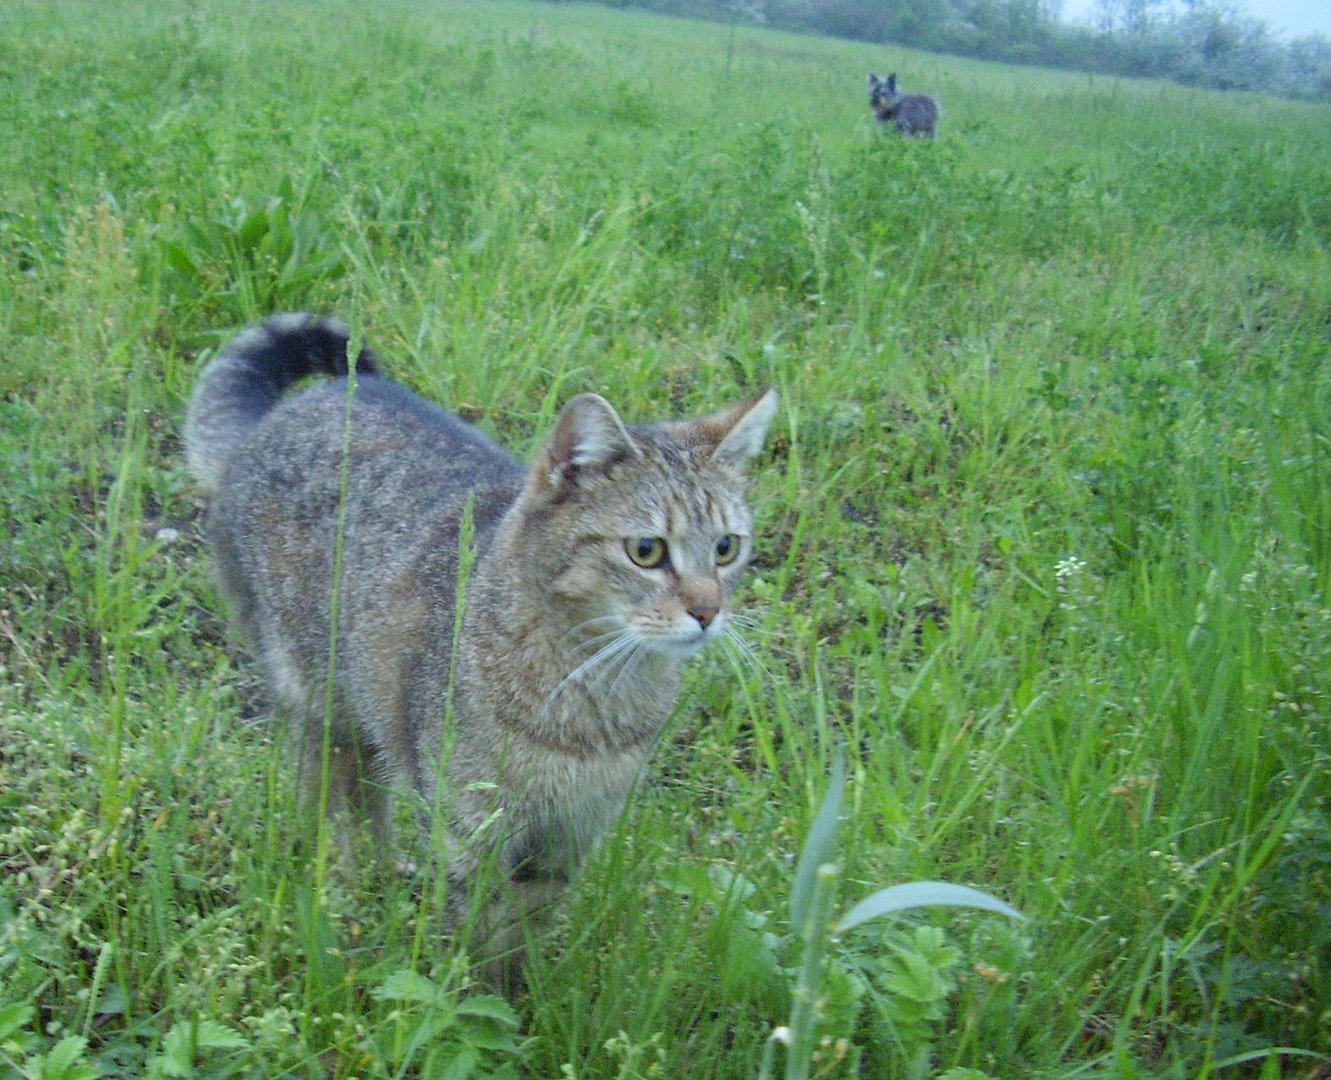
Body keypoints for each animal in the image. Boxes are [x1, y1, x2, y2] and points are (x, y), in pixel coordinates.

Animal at [182, 312, 777, 969]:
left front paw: (525, 992)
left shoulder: (566, 837)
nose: (707, 610)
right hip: (321, 702)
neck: (592, 701)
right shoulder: (469, 830)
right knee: (340, 808)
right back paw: (361, 887)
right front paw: (462, 988)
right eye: (646, 551)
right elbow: (472, 941)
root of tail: (281, 417)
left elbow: (521, 938)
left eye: (726, 548)